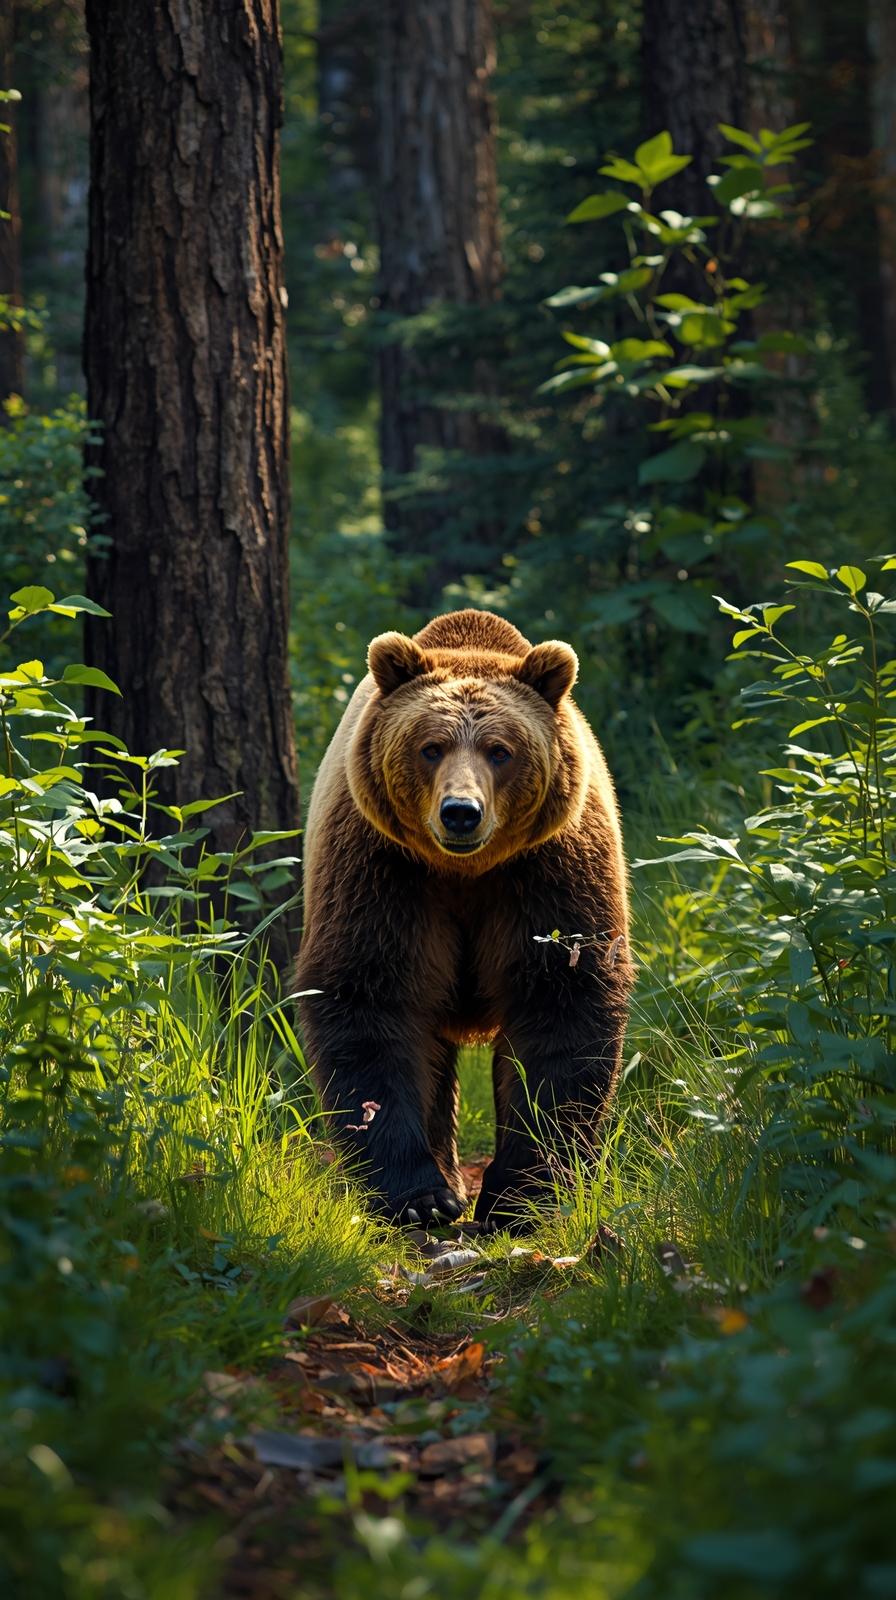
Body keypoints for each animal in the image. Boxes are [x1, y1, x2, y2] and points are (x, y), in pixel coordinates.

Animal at [296, 608, 633, 1230]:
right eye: (431, 747)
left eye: (501, 750)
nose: (460, 813)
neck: (466, 872)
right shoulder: (385, 870)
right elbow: (371, 1000)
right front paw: (418, 1195)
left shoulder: (547, 871)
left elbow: (562, 999)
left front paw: (523, 1193)